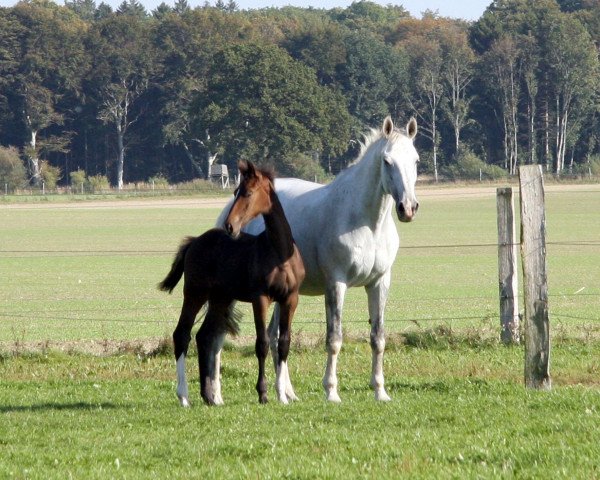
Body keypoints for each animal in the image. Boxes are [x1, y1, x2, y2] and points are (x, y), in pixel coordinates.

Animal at [218, 116, 420, 402]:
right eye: (387, 161)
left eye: (415, 160)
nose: (408, 208)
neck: (367, 223)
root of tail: (227, 213)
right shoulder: (336, 284)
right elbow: (334, 339)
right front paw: (331, 391)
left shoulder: (379, 283)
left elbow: (378, 337)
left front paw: (380, 391)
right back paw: (217, 393)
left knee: (275, 336)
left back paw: (287, 393)